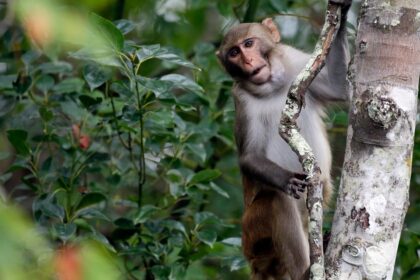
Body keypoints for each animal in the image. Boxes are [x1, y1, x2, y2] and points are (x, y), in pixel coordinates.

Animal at [217, 2, 352, 280]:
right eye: (234, 52)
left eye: (248, 44)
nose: (248, 61)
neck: (271, 87)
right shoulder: (241, 100)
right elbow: (250, 157)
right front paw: (286, 179)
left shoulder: (295, 62)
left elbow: (339, 87)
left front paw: (342, 13)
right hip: (254, 231)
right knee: (276, 201)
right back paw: (305, 271)